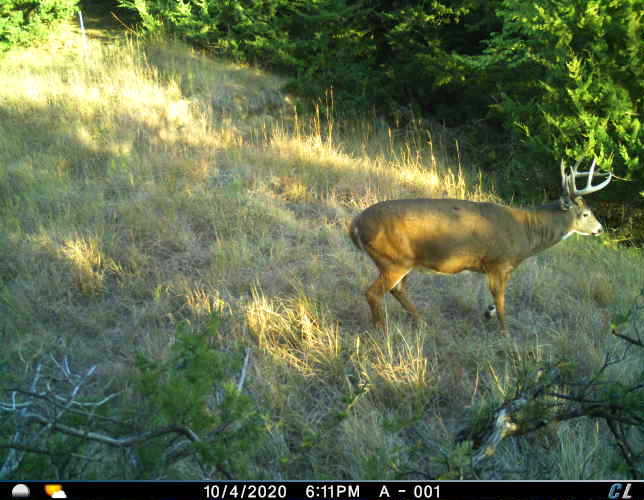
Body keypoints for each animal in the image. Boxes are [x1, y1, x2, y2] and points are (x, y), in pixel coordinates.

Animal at [349, 159, 612, 334]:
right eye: (586, 213)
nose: (600, 229)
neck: (527, 232)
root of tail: (356, 224)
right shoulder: (500, 262)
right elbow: (502, 300)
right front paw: (505, 333)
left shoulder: (489, 266)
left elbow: (491, 298)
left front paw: (488, 313)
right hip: (395, 258)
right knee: (373, 292)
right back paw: (381, 329)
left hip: (401, 261)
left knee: (397, 290)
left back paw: (420, 320)